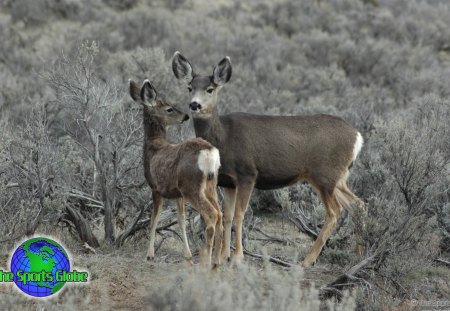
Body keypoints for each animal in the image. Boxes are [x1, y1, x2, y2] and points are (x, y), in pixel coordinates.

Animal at [129, 79, 222, 266]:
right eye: (169, 109)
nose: (185, 116)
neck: (153, 146)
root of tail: (209, 152)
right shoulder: (177, 194)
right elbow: (181, 220)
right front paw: (187, 255)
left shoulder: (156, 188)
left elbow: (154, 220)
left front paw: (149, 255)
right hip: (210, 185)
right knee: (221, 215)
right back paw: (219, 260)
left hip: (192, 187)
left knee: (212, 215)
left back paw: (207, 262)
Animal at [172, 51, 366, 268]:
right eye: (190, 87)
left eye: (210, 89)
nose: (194, 104)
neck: (223, 138)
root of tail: (357, 137)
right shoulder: (228, 182)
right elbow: (227, 216)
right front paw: (223, 257)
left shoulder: (247, 173)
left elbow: (239, 214)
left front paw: (238, 257)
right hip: (338, 177)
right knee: (358, 204)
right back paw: (358, 253)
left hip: (324, 175)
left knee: (334, 212)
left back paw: (307, 261)